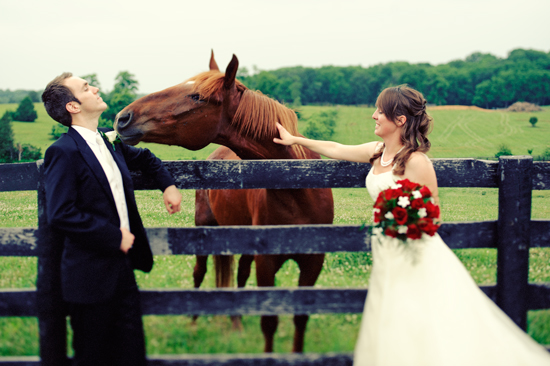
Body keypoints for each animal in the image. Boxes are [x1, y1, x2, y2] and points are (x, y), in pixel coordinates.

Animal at [114, 53, 334, 354]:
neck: (299, 192)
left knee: (239, 276)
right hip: (205, 230)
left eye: (197, 96)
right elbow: (269, 321)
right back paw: (194, 322)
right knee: (199, 272)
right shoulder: (266, 262)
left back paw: (236, 323)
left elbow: (300, 317)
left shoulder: (313, 263)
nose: (123, 117)